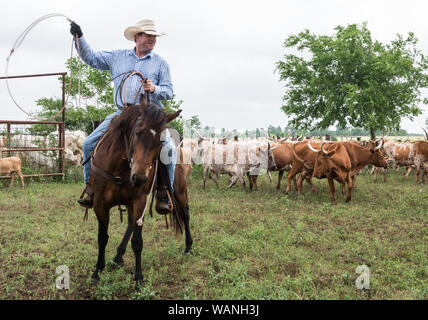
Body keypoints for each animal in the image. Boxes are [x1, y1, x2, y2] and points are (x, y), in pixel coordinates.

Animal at [87, 94, 194, 288]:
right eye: (137, 132)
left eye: (161, 141)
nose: (139, 178)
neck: (119, 168)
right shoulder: (100, 203)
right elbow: (102, 237)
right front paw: (97, 271)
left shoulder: (139, 200)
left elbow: (137, 242)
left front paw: (138, 278)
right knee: (130, 224)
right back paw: (118, 256)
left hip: (179, 190)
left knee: (185, 214)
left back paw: (188, 246)